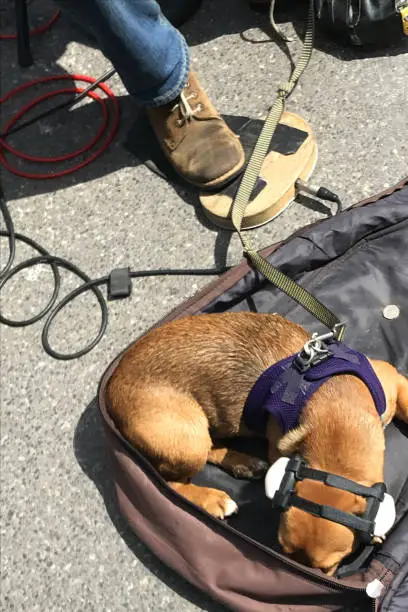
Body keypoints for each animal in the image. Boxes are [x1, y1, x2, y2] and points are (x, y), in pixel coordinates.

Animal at [106, 314, 408, 576]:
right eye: (282, 548)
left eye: (327, 568)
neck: (338, 419)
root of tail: (111, 387)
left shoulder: (392, 380)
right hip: (187, 437)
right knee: (171, 482)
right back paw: (213, 498)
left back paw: (243, 462)